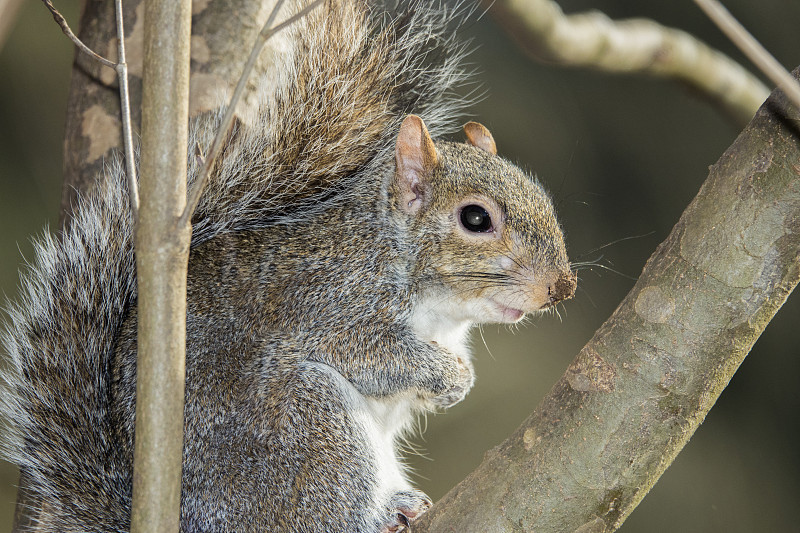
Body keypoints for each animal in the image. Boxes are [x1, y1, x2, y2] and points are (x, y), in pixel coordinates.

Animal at [0, 1, 576, 532]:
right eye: (476, 218)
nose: (562, 287)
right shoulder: (331, 302)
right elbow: (375, 355)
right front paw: (449, 375)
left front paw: (459, 379)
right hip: (309, 430)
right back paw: (380, 516)